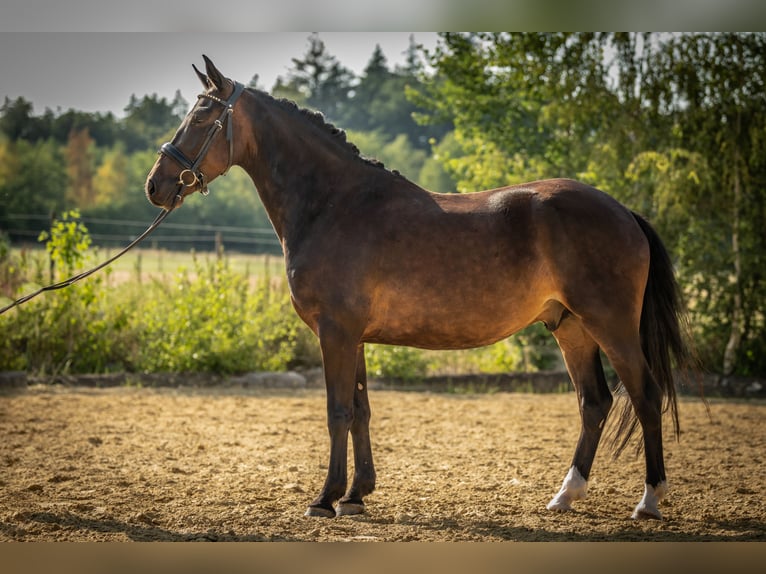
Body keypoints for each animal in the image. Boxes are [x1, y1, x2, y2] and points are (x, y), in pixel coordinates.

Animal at [145, 56, 692, 520]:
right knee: (594, 403)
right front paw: (356, 496)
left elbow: (337, 411)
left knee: (644, 395)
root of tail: (622, 212)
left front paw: (325, 499)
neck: (334, 204)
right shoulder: (353, 337)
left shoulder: (335, 332)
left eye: (201, 118)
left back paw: (649, 501)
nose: (155, 185)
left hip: (610, 326)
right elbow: (361, 410)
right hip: (571, 327)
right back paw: (565, 496)